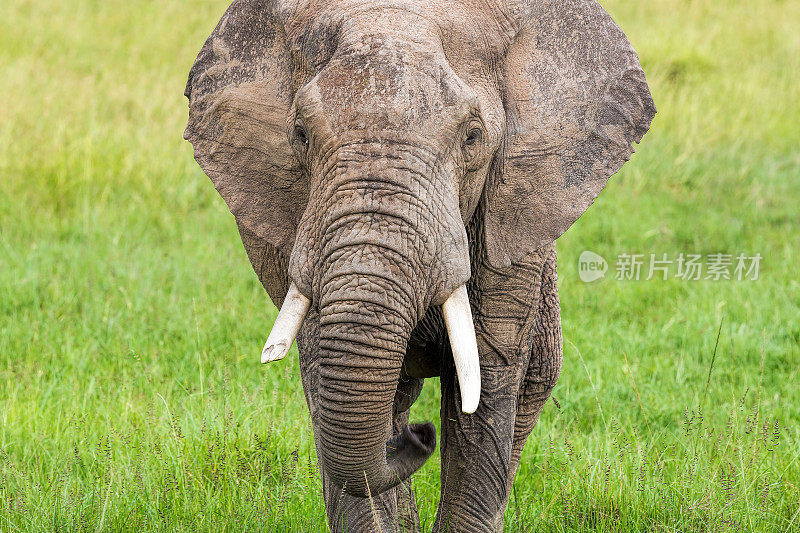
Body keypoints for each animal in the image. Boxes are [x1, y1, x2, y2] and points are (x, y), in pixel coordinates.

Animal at [184, 1, 652, 528]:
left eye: (473, 137)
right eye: (300, 134)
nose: (418, 437)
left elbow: (487, 378)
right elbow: (326, 373)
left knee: (532, 384)